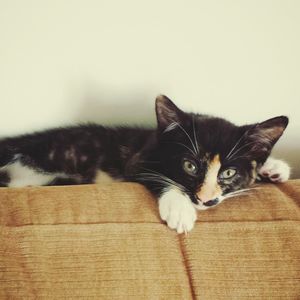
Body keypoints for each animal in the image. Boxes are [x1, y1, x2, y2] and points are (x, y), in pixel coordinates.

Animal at [0, 95, 290, 233]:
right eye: (190, 166)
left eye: (228, 172)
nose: (205, 200)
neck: (157, 143)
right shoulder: (135, 162)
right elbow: (158, 178)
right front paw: (180, 210)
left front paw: (273, 168)